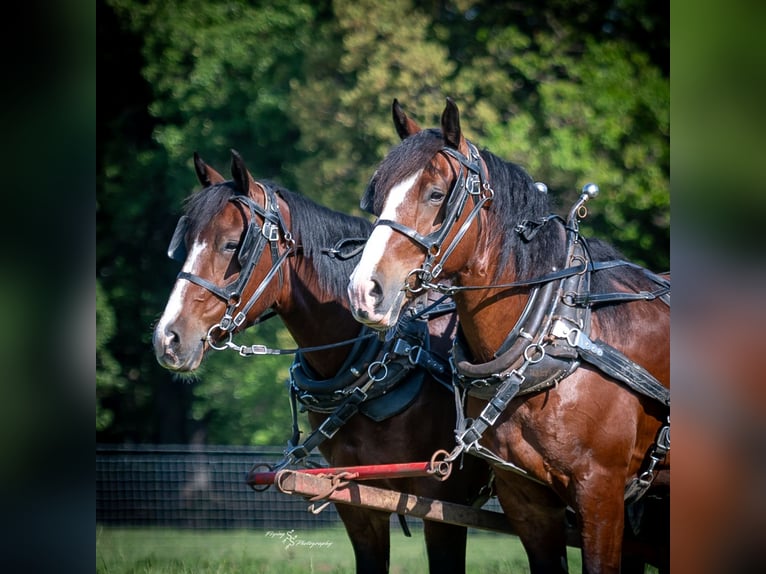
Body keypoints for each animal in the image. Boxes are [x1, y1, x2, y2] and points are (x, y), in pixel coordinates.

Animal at [152, 149, 491, 574]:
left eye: (231, 246)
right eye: (186, 244)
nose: (167, 338)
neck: (381, 358)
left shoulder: (444, 501)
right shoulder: (355, 499)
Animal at [347, 98, 670, 573]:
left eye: (436, 194)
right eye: (379, 195)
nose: (363, 291)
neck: (551, 332)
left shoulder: (602, 494)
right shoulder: (527, 501)